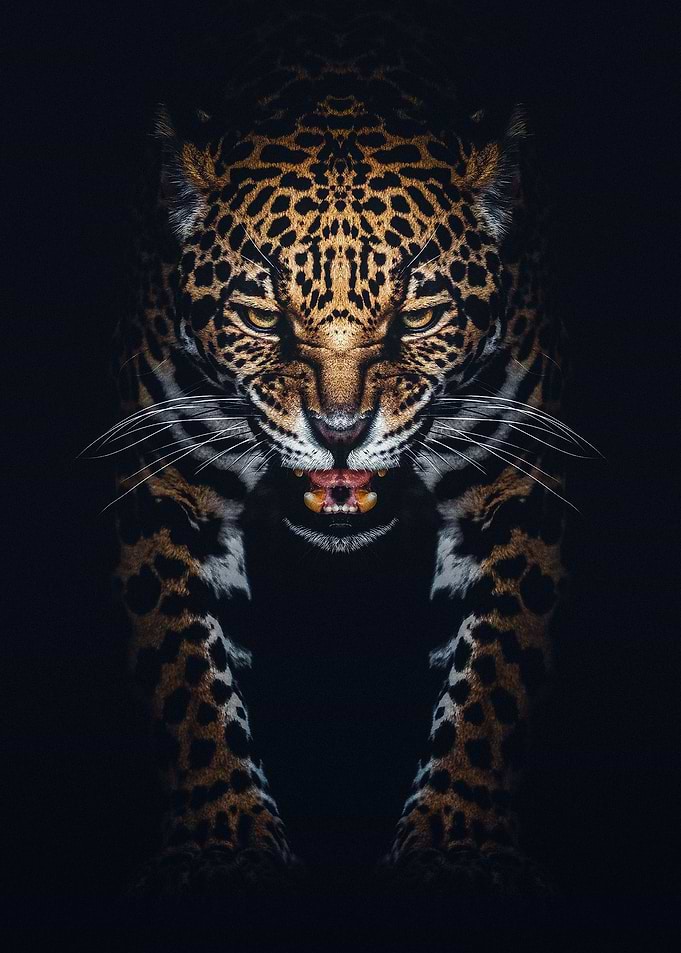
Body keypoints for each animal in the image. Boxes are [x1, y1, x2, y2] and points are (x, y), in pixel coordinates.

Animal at [92, 4, 592, 900]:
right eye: (261, 315)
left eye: (419, 314)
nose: (338, 429)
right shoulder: (163, 475)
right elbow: (185, 678)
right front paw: (224, 845)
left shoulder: (516, 474)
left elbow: (494, 677)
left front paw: (456, 845)